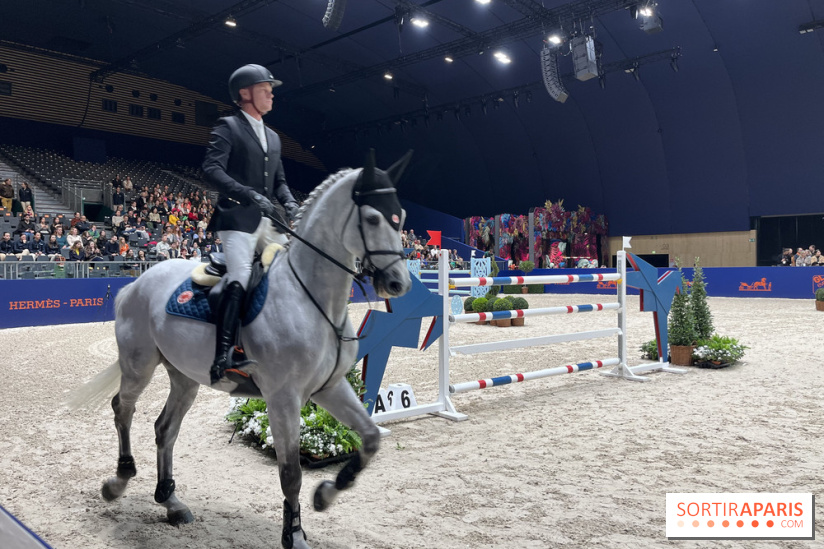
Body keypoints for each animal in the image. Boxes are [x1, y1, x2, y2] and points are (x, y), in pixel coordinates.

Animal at [68, 152, 413, 549]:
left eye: (401, 217)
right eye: (372, 218)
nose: (398, 283)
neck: (310, 297)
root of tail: (135, 283)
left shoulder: (330, 387)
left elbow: (370, 438)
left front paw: (327, 493)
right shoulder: (283, 398)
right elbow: (291, 472)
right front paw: (294, 535)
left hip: (184, 377)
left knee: (164, 429)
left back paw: (171, 502)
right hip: (139, 365)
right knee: (123, 410)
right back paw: (118, 482)